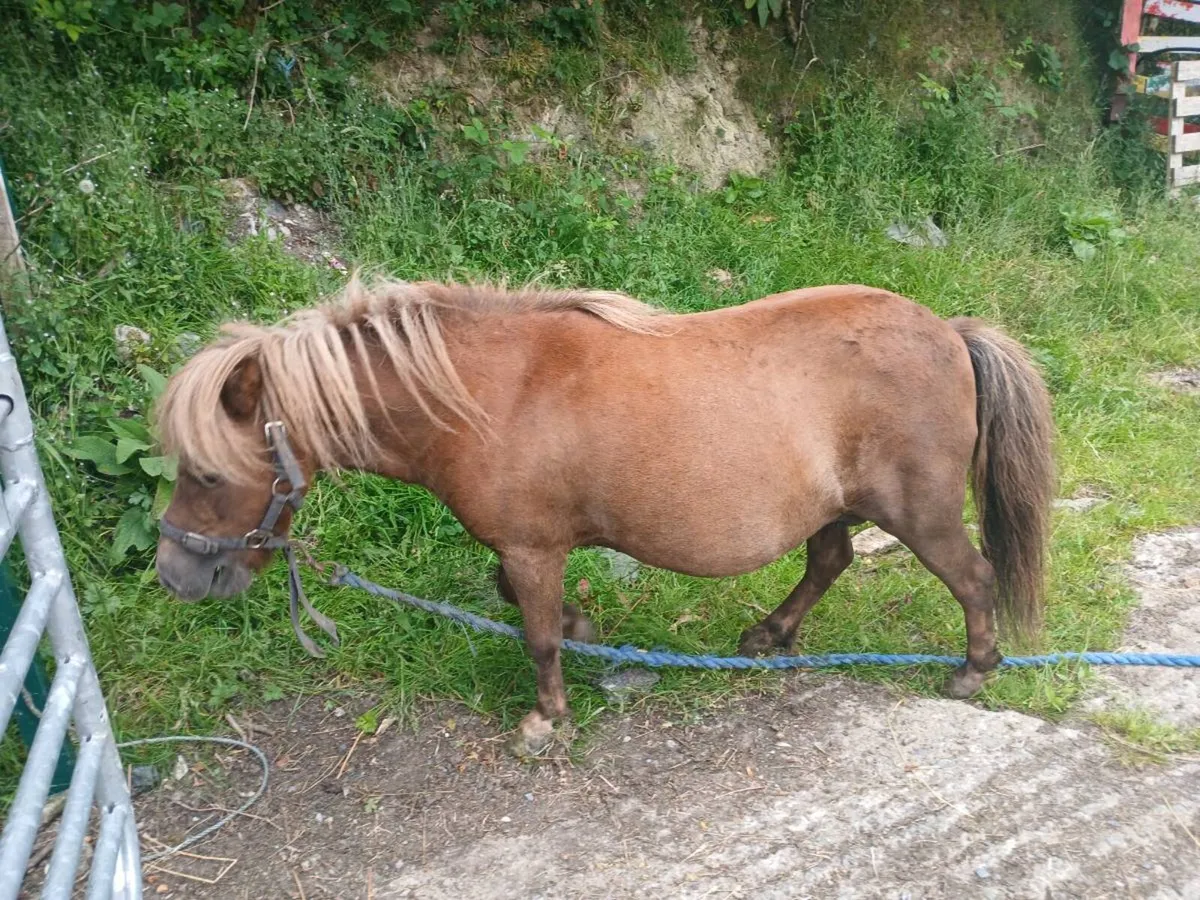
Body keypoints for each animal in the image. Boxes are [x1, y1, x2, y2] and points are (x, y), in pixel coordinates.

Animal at [153, 277, 1054, 755]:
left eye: (206, 470)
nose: (175, 574)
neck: (488, 394)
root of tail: (950, 331)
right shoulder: (528, 547)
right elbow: (523, 605)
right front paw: (587, 631)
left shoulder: (531, 547)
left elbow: (535, 633)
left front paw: (547, 717)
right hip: (834, 506)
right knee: (828, 562)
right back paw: (770, 636)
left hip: (918, 513)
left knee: (972, 577)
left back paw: (974, 670)